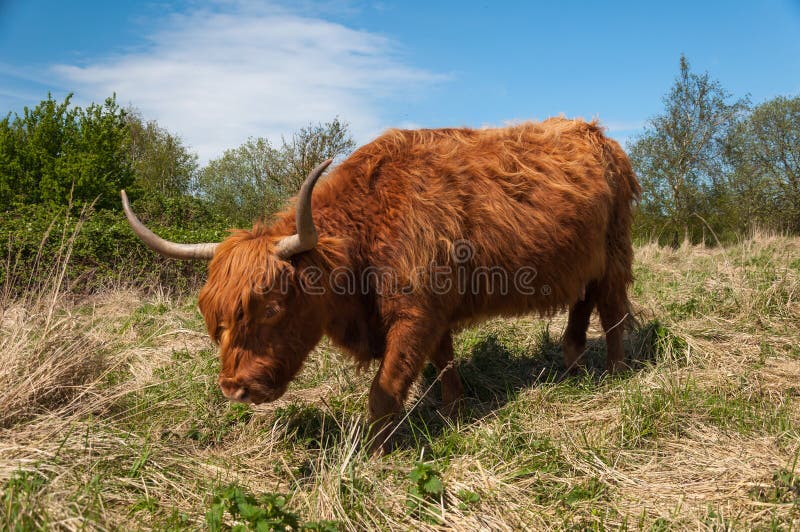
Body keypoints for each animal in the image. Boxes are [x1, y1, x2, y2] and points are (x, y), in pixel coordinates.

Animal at [121, 117, 641, 454]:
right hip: (583, 261)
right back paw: (572, 364)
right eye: (215, 320)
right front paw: (453, 410)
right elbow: (443, 361)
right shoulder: (433, 309)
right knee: (583, 303)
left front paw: (372, 453)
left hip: (615, 252)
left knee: (613, 311)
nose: (234, 389)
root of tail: (599, 136)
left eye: (270, 307)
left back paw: (614, 374)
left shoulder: (415, 312)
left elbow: (385, 389)